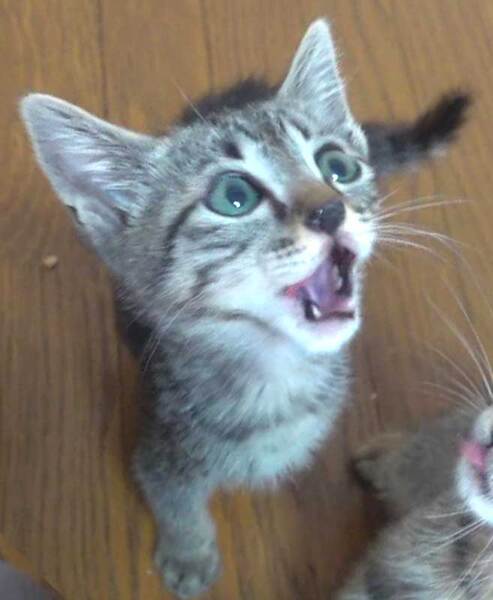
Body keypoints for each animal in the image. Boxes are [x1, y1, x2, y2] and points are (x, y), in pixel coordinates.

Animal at [20, 18, 469, 599]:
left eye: (337, 166)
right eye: (234, 196)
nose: (330, 209)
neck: (277, 377)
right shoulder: (163, 452)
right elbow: (177, 503)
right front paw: (189, 552)